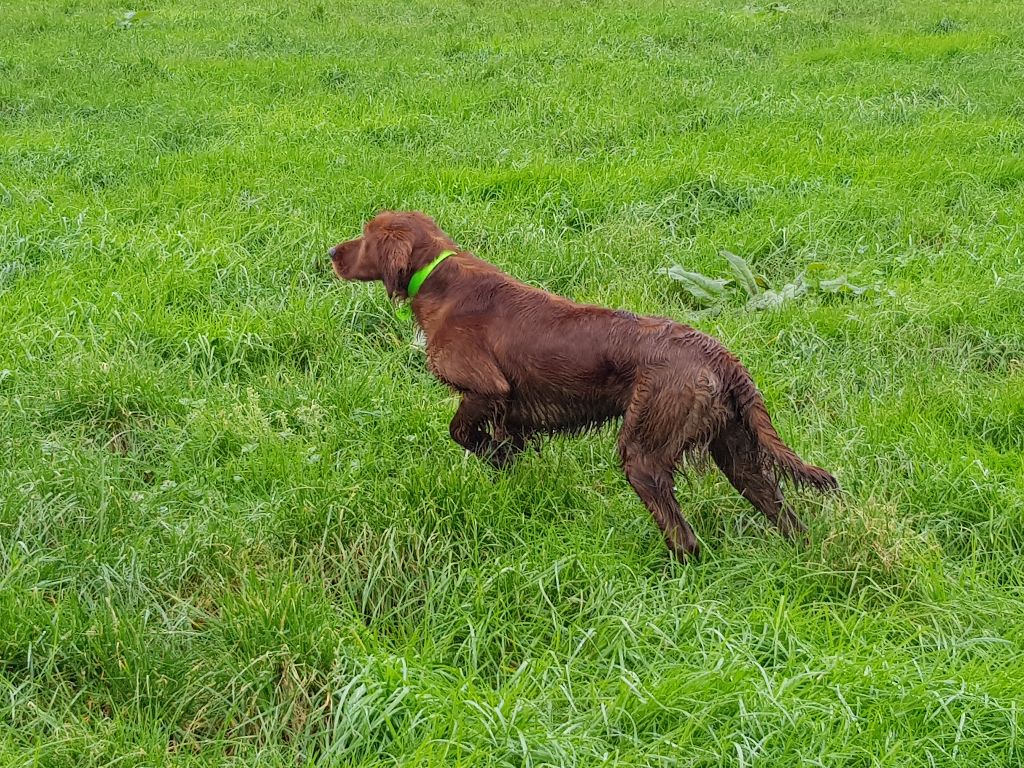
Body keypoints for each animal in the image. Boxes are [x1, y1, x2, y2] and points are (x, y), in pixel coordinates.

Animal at [331, 210, 835, 561]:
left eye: (366, 235)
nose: (331, 253)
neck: (439, 280)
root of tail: (717, 352)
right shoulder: (511, 413)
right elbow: (505, 448)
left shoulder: (487, 388)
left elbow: (462, 434)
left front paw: (494, 456)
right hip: (737, 452)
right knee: (782, 511)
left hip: (644, 451)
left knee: (684, 536)